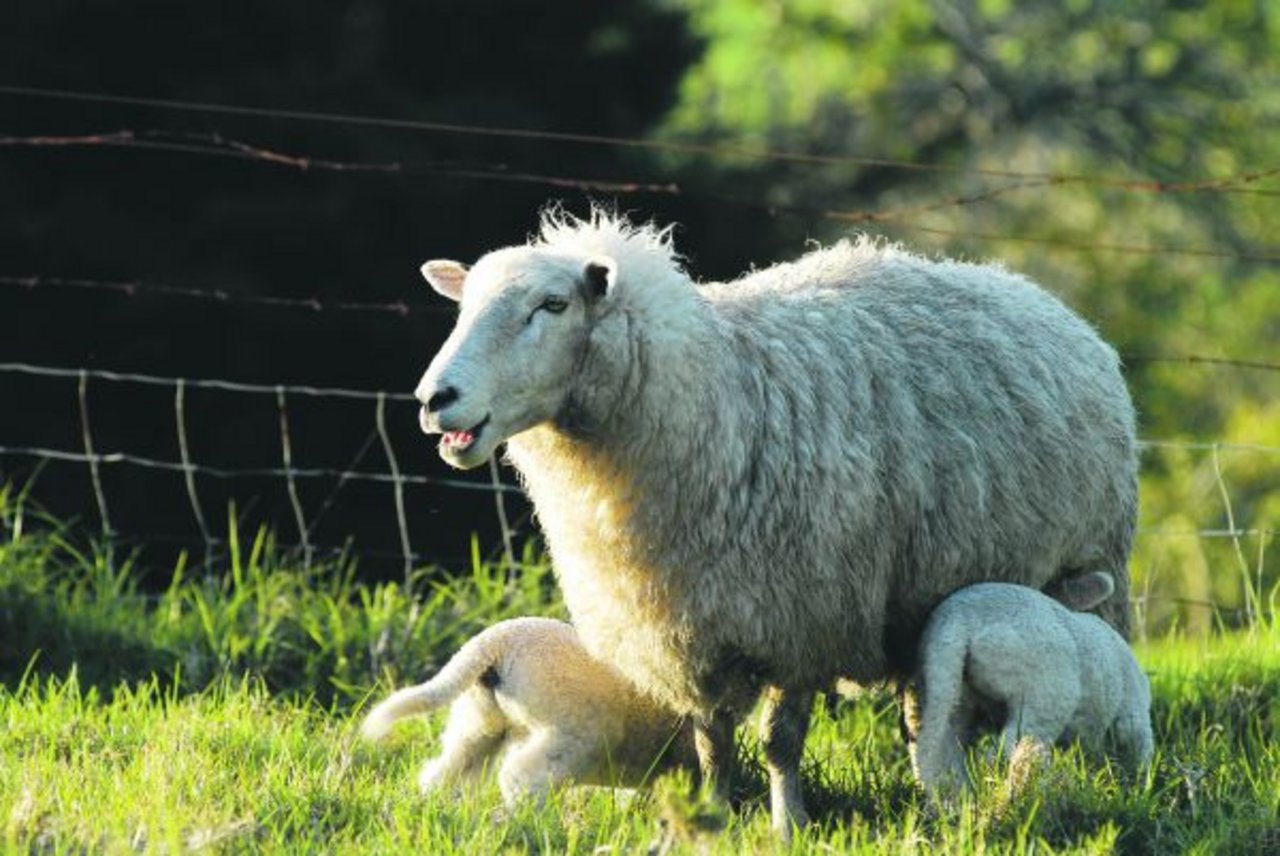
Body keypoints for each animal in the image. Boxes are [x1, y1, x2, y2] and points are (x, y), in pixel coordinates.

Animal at [911, 578, 1152, 798]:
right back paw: (1032, 788)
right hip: (1043, 692)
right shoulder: (1132, 714)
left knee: (938, 747)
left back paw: (952, 798)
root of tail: (961, 621)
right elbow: (1138, 747)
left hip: (948, 683)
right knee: (1014, 746)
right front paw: (1138, 788)